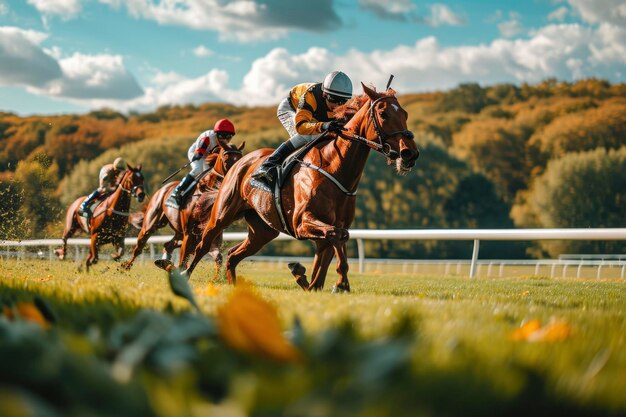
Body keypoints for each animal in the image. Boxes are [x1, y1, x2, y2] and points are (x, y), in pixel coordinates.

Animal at [120, 141, 244, 274]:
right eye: (226, 160)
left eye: (240, 159)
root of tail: (162, 189)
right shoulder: (189, 233)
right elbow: (184, 261)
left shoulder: (211, 234)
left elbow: (217, 258)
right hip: (151, 224)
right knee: (139, 247)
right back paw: (126, 267)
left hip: (179, 232)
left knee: (168, 245)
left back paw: (164, 263)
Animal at [176, 84, 416, 290]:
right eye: (384, 114)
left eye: (405, 114)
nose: (410, 153)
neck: (335, 168)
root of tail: (239, 162)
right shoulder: (301, 222)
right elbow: (337, 234)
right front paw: (339, 282)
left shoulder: (325, 234)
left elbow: (330, 253)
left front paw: (314, 278)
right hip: (221, 215)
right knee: (202, 245)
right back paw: (183, 275)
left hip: (263, 230)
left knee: (234, 255)